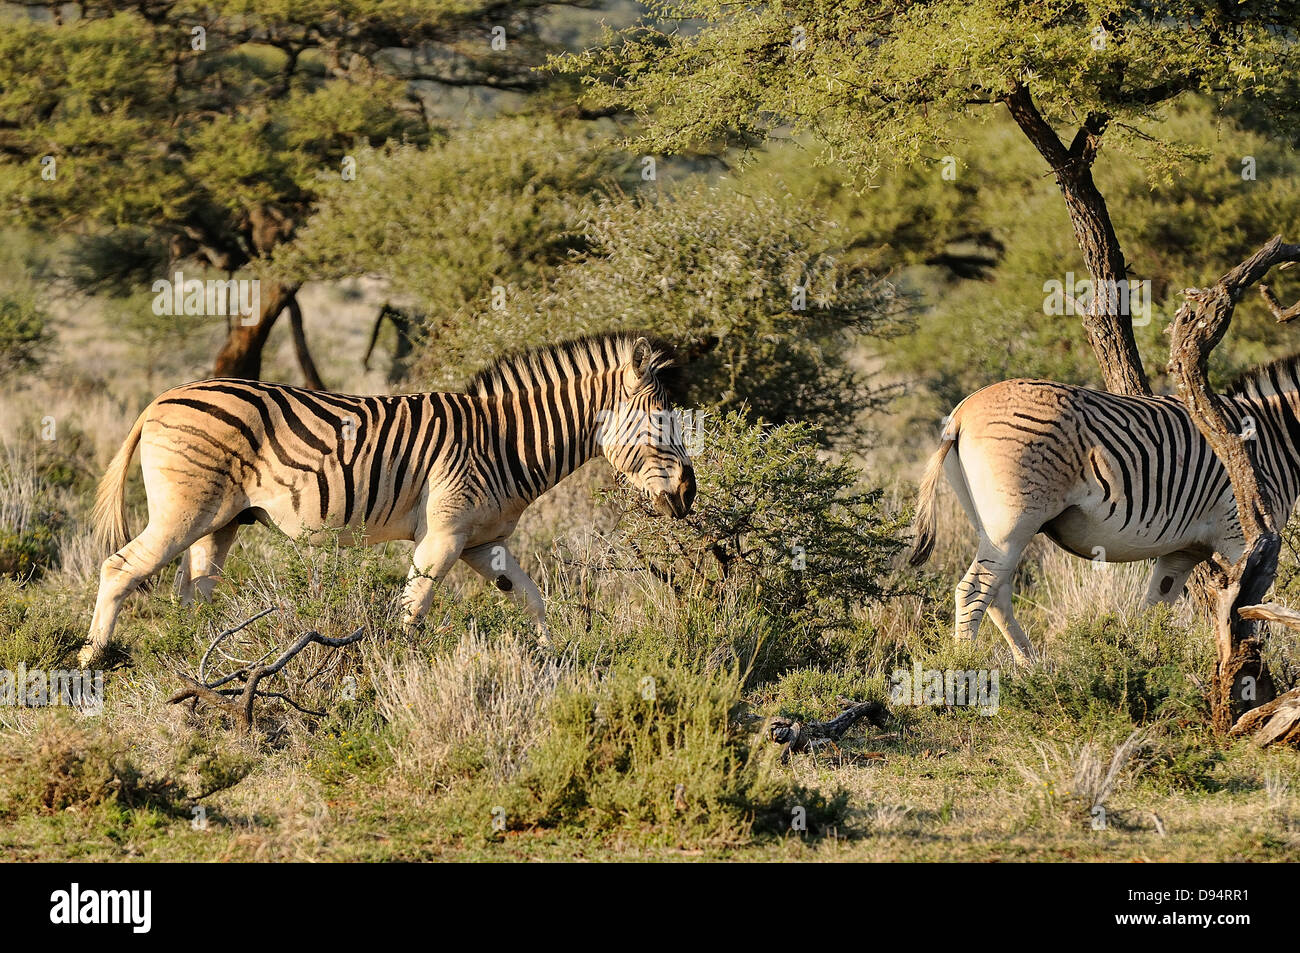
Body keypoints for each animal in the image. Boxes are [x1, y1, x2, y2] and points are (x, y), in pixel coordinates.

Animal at [76, 335, 696, 670]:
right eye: (662, 422)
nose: (689, 495)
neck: (505, 441)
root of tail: (162, 397)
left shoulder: (482, 542)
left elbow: (531, 597)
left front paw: (554, 659)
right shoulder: (443, 534)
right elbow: (414, 609)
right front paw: (396, 669)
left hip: (220, 521)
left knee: (194, 592)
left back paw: (200, 664)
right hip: (185, 511)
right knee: (120, 568)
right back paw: (91, 661)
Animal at [909, 356, 1300, 660]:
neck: (1276, 438)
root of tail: (962, 411)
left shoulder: (1184, 550)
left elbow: (1155, 608)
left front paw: (1146, 661)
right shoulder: (1243, 536)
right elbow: (1247, 609)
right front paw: (1251, 666)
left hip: (988, 524)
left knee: (997, 593)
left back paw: (1033, 669)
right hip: (1012, 523)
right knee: (974, 590)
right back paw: (964, 672)